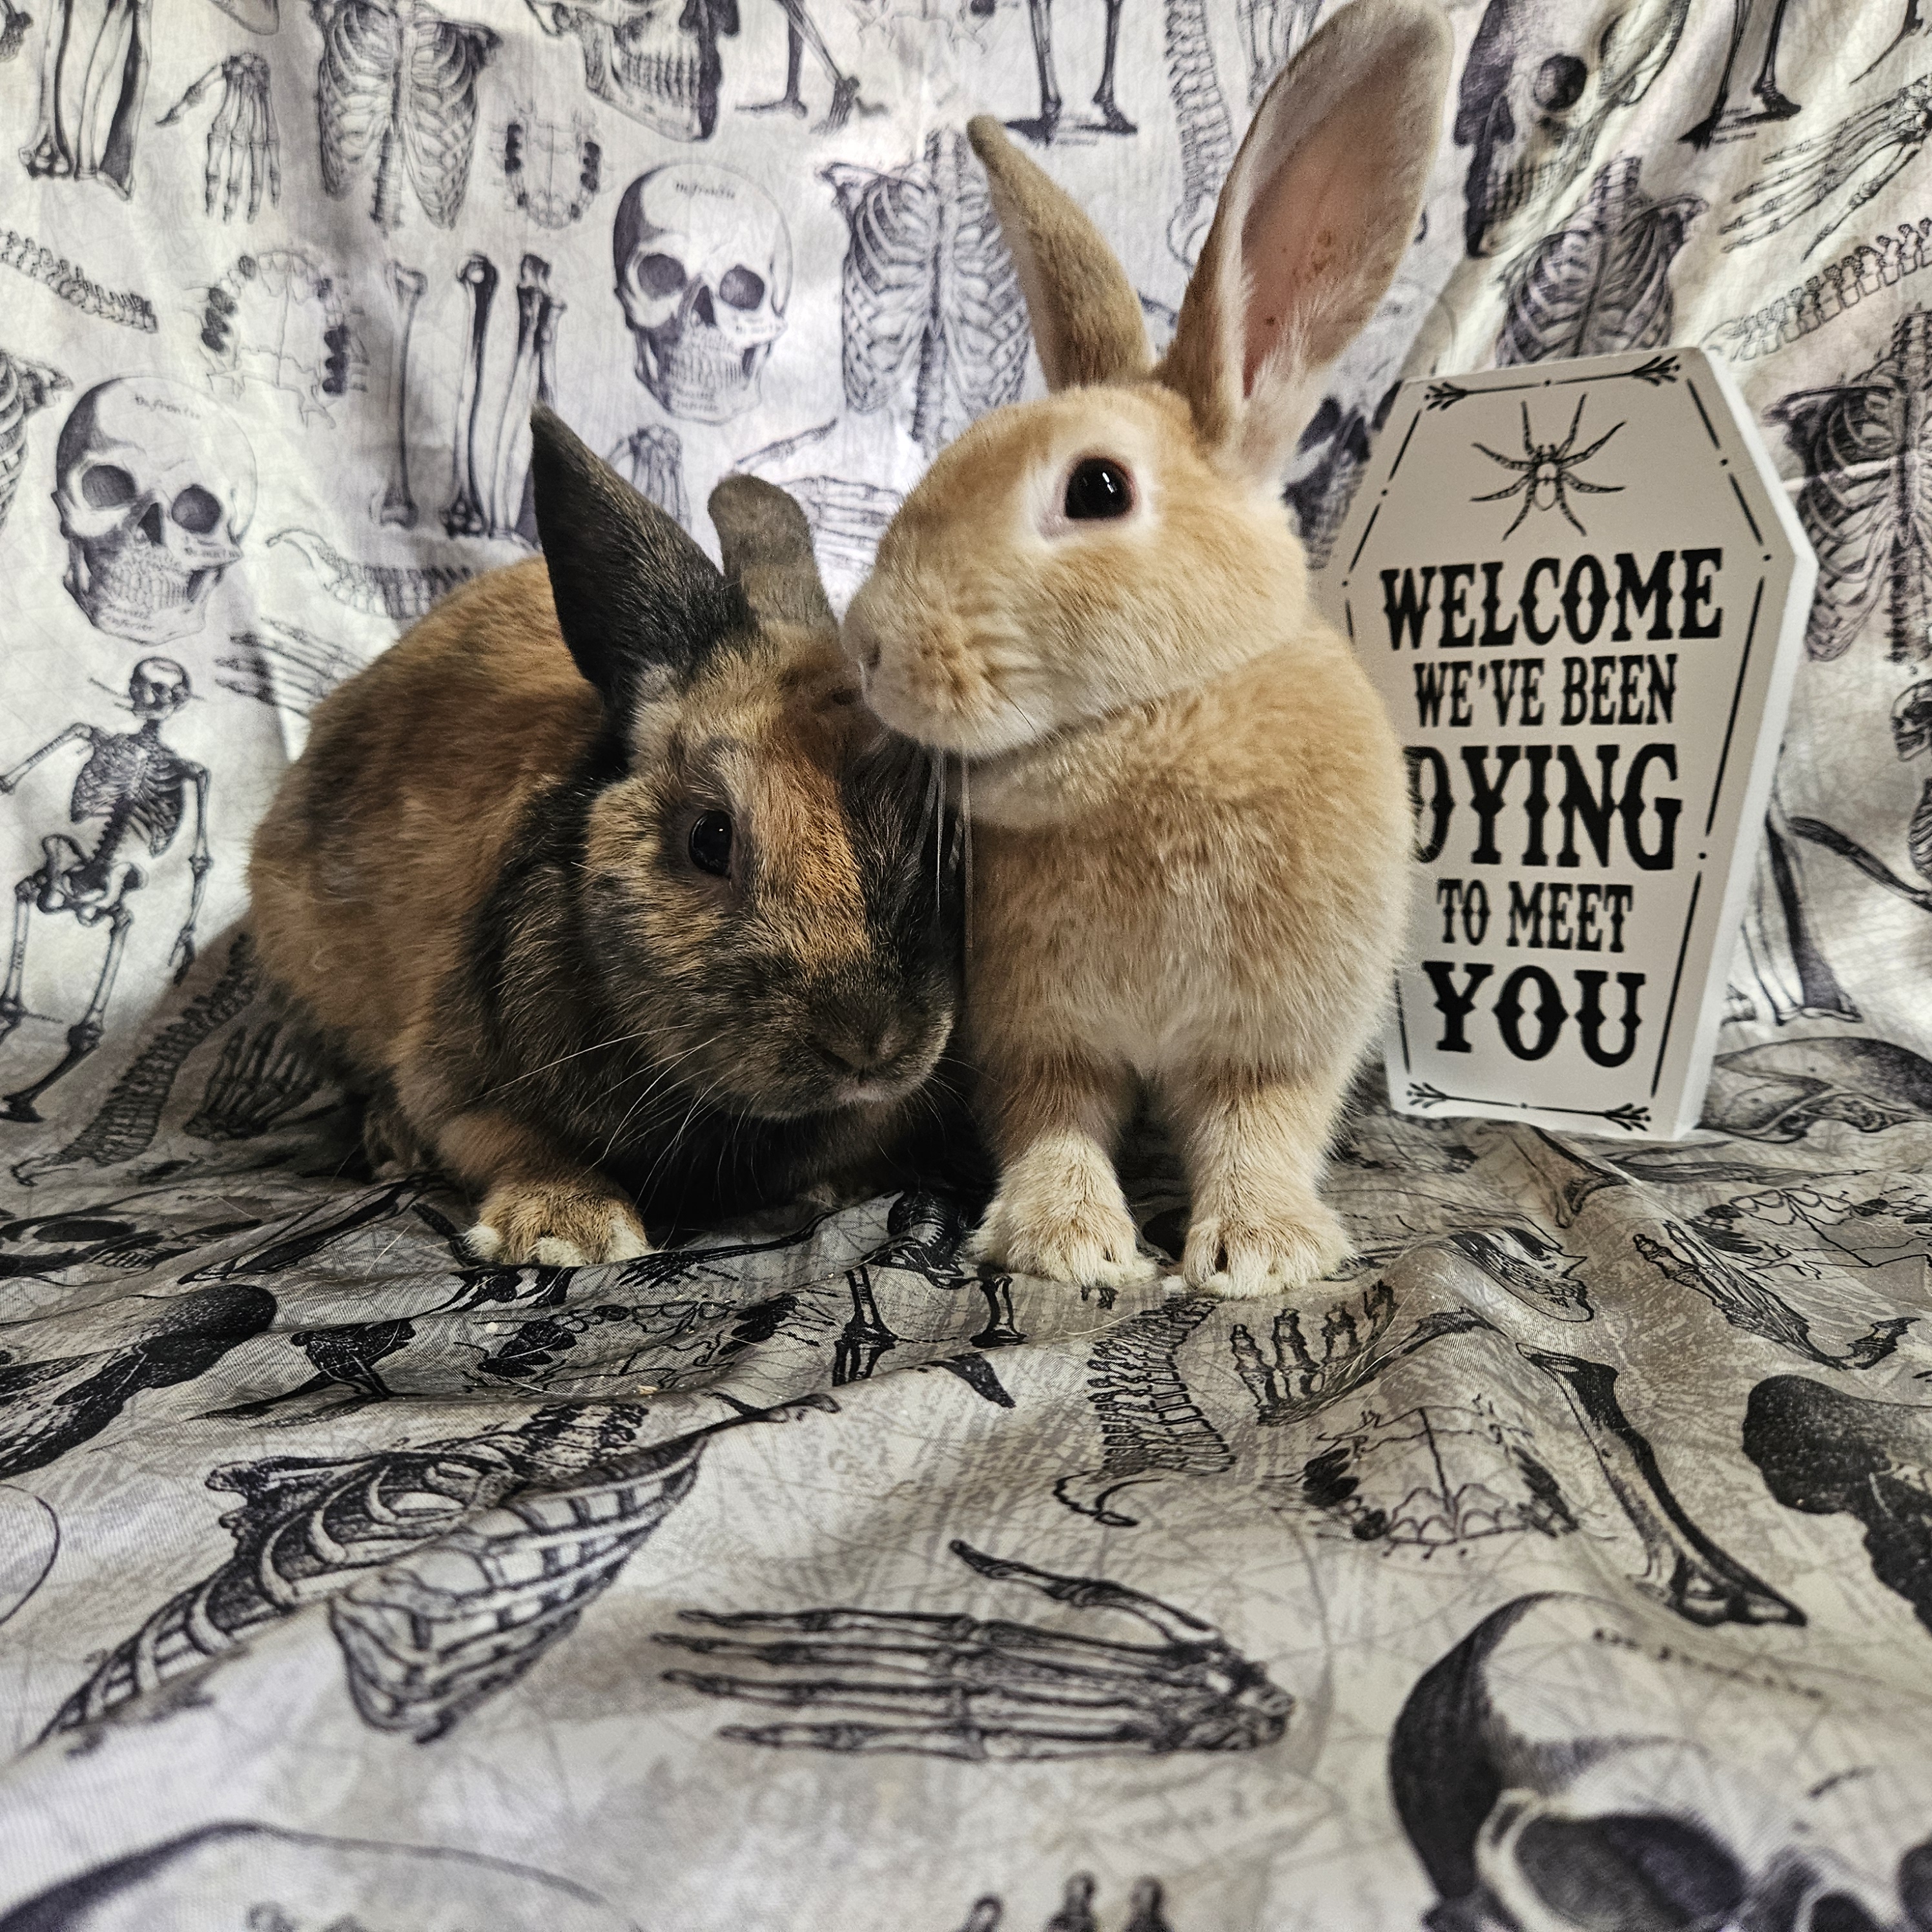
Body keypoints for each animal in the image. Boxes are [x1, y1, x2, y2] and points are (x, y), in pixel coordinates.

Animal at [250, 406, 962, 1266]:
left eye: (941, 837)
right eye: (708, 840)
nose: (871, 1044)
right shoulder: (458, 1088)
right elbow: (511, 1142)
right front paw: (568, 1228)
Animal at [840, 0, 1451, 1298]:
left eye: (1099, 489)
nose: (867, 644)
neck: (1158, 737)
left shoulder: (1281, 1039)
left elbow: (1261, 1127)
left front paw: (1263, 1253)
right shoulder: (1038, 1036)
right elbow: (1055, 1122)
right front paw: (1065, 1243)